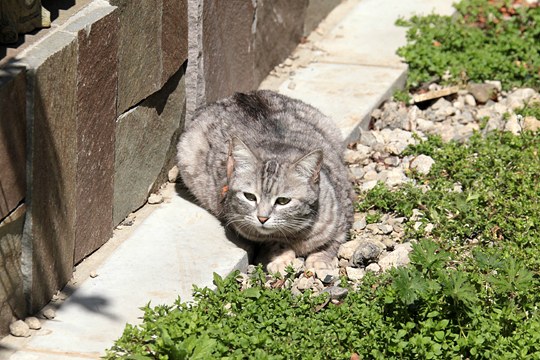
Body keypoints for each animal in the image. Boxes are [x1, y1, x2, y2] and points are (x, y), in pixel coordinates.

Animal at [177, 89, 354, 272]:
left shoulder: (344, 215)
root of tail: (239, 95)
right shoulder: (244, 227)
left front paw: (320, 260)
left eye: (283, 201)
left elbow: (331, 242)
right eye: (249, 197)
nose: (262, 218)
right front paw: (282, 259)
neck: (296, 233)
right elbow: (274, 242)